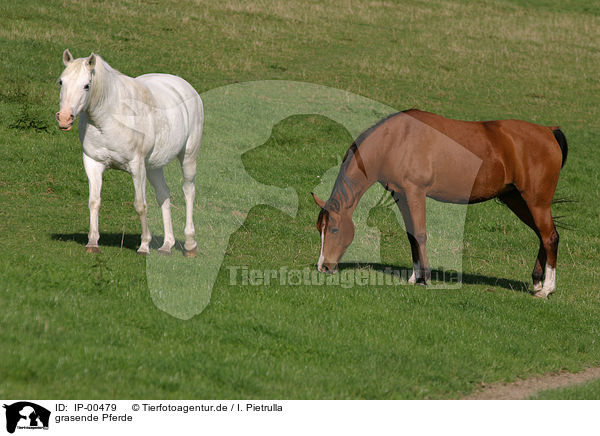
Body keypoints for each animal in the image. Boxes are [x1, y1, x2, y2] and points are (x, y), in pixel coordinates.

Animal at [58, 50, 204, 255]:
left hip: (188, 157)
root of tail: (185, 86)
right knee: (163, 194)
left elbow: (140, 205)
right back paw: (167, 244)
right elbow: (94, 201)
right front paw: (92, 242)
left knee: (188, 191)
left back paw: (190, 244)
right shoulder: (93, 163)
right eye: (61, 82)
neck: (109, 117)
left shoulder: (136, 166)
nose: (64, 118)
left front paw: (144, 245)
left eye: (87, 85)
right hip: (153, 167)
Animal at [314, 110, 568, 298]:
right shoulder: (401, 195)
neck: (396, 140)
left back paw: (547, 289)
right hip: (517, 200)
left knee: (550, 237)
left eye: (334, 229)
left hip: (537, 202)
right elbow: (411, 236)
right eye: (320, 230)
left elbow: (420, 234)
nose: (322, 267)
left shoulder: (415, 192)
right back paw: (537, 282)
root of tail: (548, 131)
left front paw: (424, 278)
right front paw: (414, 276)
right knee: (542, 236)